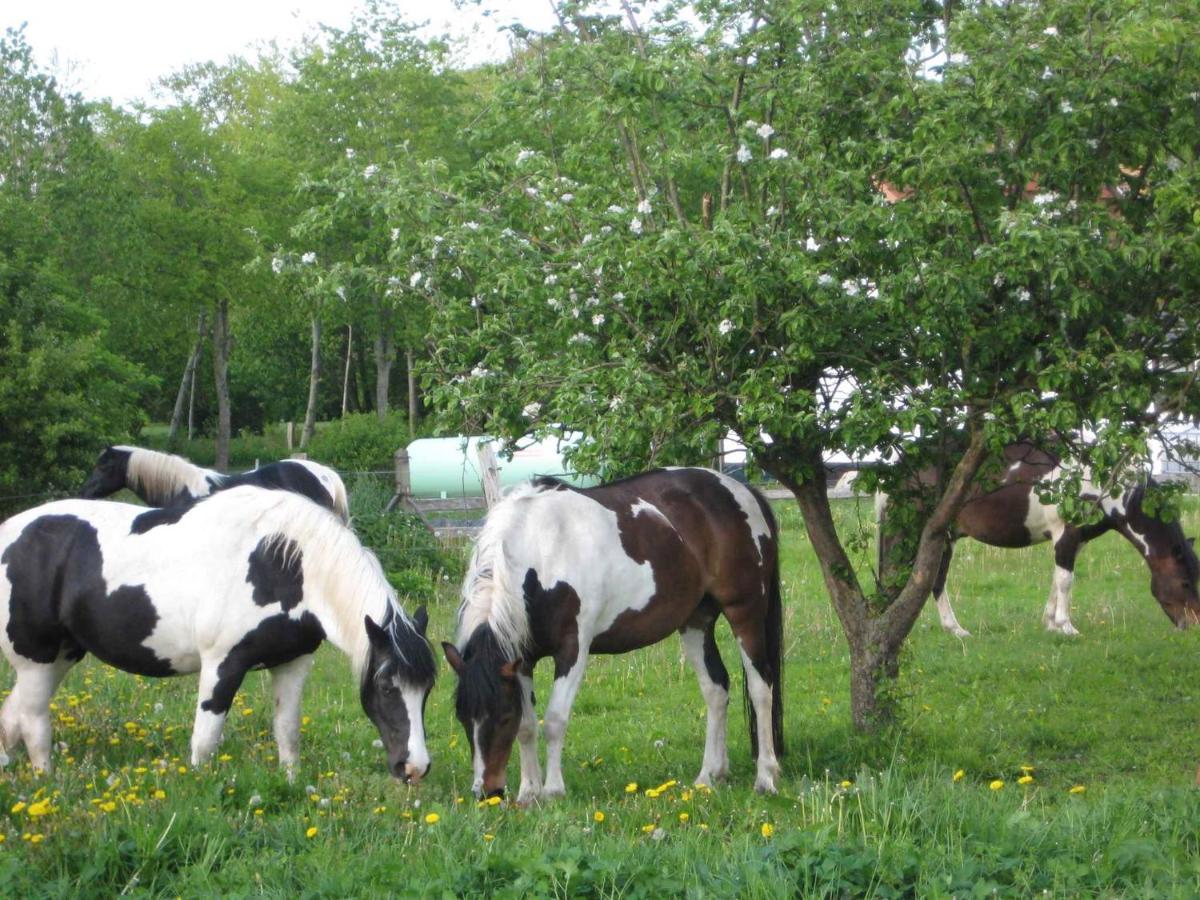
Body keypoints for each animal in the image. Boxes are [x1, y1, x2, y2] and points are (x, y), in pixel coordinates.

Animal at [0, 482, 439, 777]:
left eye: (427, 689)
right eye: (386, 686)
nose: (414, 767)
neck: (281, 564)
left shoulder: (293, 662)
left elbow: (287, 729)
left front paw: (292, 783)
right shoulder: (222, 664)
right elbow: (206, 738)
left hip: (60, 657)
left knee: (13, 715)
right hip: (37, 660)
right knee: (34, 723)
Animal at [441, 468, 787, 806]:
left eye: (502, 718)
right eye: (462, 718)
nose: (487, 793)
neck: (539, 552)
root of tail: (743, 490)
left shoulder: (572, 650)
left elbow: (554, 720)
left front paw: (553, 791)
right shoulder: (521, 660)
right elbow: (528, 726)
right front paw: (529, 793)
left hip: (745, 612)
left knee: (760, 688)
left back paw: (765, 777)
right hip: (696, 622)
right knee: (715, 689)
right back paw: (709, 776)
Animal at [878, 441, 1195, 638]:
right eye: (1185, 582)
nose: (1192, 624)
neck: (1102, 483)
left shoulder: (1076, 540)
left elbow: (1057, 580)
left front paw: (1051, 624)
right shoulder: (1065, 534)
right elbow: (1066, 581)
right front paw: (1067, 627)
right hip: (919, 536)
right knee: (925, 580)